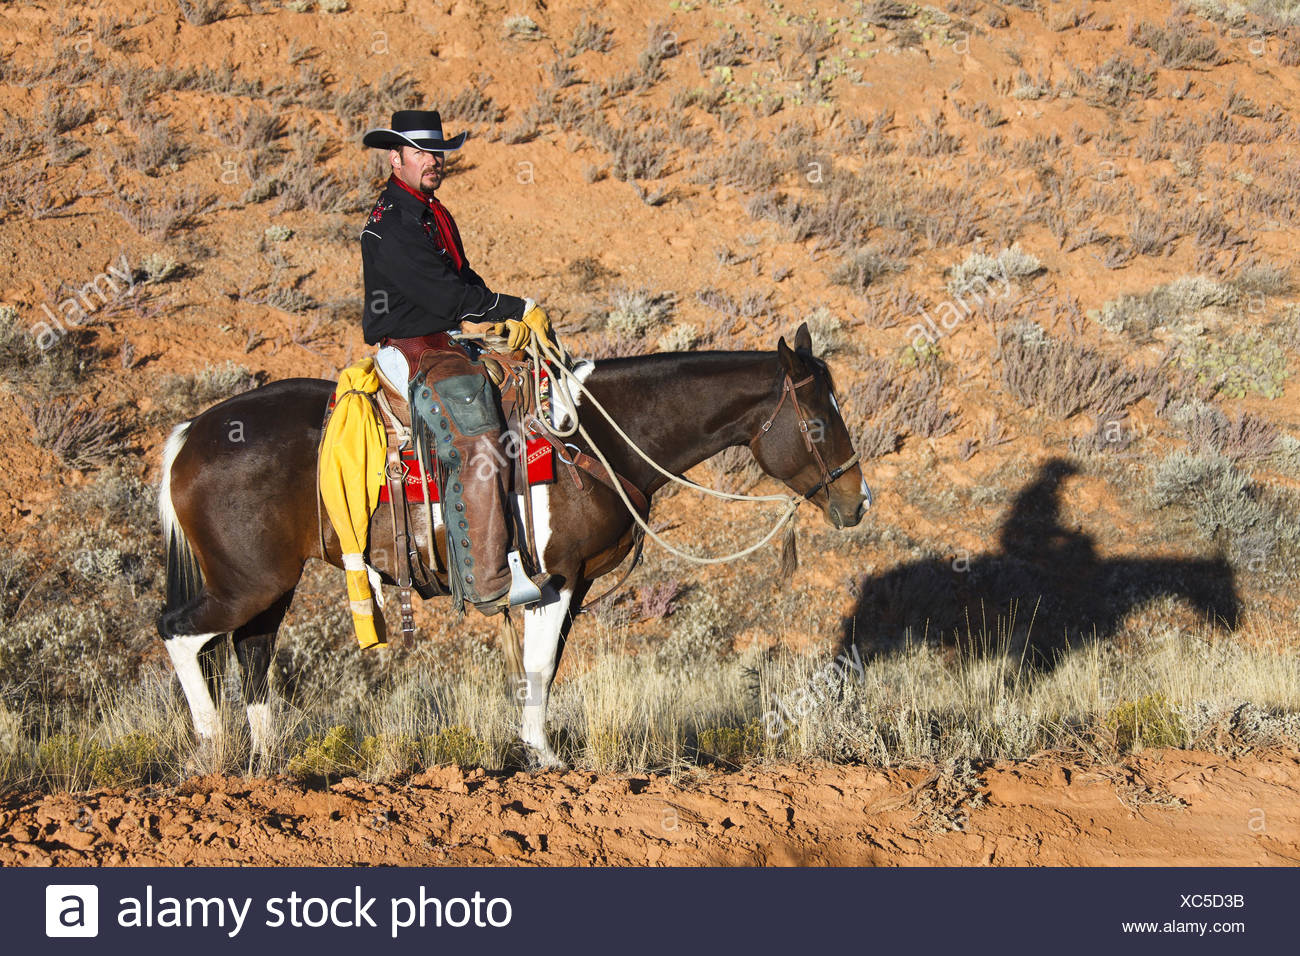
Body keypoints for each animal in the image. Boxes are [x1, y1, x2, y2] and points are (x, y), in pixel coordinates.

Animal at [159, 323, 873, 770]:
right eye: (817, 421)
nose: (859, 501)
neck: (588, 438)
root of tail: (192, 433)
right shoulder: (554, 580)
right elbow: (538, 668)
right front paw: (544, 754)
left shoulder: (573, 586)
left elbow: (543, 670)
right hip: (246, 584)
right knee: (180, 632)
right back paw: (211, 741)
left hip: (270, 588)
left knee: (252, 655)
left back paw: (266, 760)